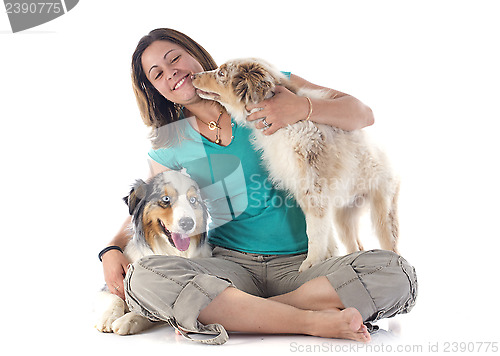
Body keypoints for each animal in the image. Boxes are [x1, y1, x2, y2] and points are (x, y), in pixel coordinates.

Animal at [94, 171, 210, 336]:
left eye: (192, 200)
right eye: (166, 199)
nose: (188, 223)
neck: (167, 250)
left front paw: (126, 320)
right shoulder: (105, 289)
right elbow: (114, 298)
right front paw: (108, 318)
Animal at [190, 59, 398, 270]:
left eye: (221, 73)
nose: (193, 76)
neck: (286, 127)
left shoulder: (314, 191)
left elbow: (314, 232)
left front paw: (310, 263)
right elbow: (324, 233)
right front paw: (325, 257)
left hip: (383, 209)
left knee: (392, 248)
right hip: (344, 214)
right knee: (356, 244)